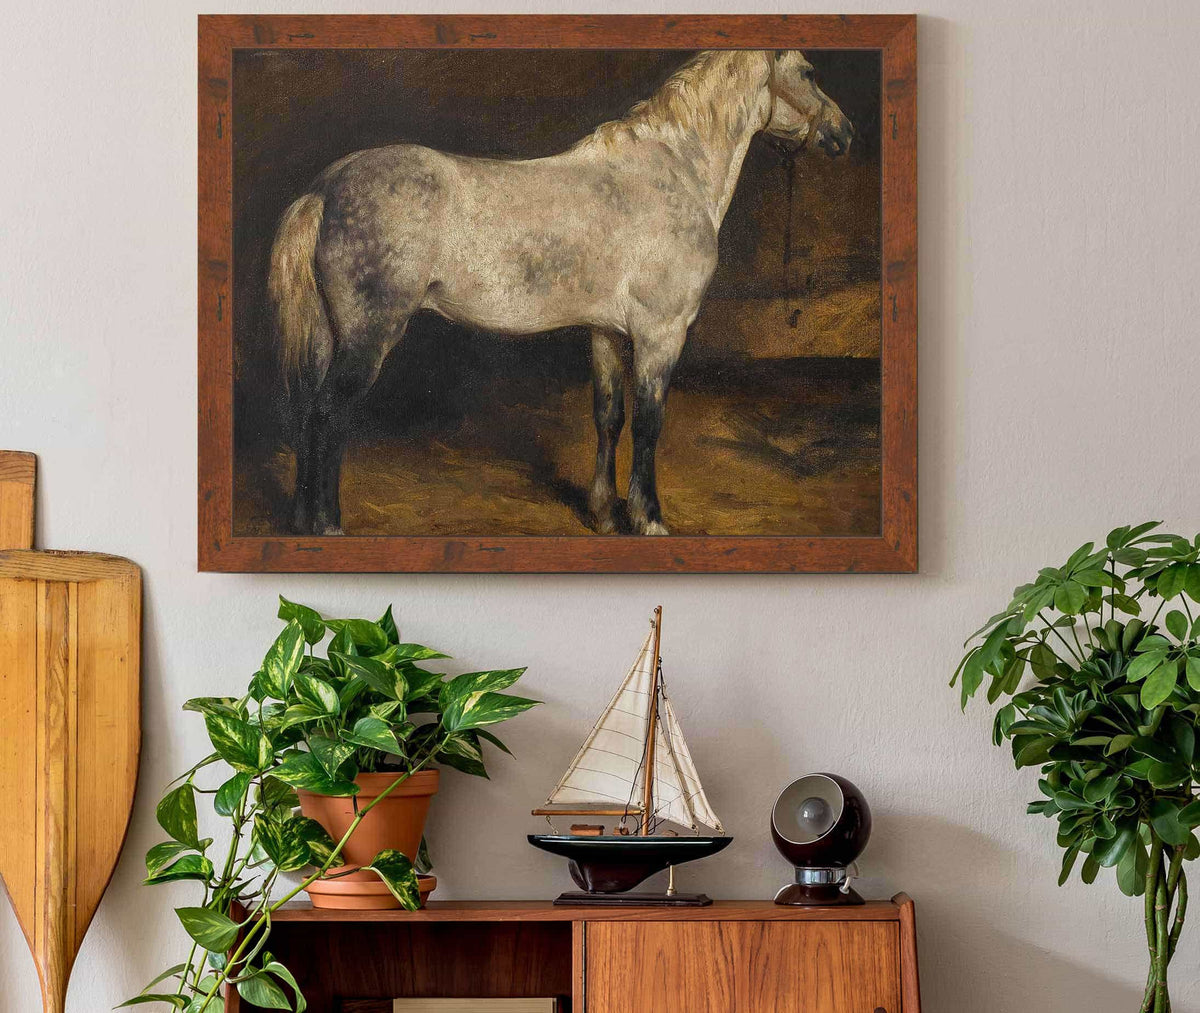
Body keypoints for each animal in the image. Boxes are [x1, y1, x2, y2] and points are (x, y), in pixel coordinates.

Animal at [269, 49, 853, 536]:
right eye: (808, 72)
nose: (844, 134)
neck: (672, 171)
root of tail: (324, 189)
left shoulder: (605, 331)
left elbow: (609, 416)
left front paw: (605, 514)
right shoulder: (660, 334)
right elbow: (649, 422)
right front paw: (648, 518)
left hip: (327, 333)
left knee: (305, 410)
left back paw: (301, 520)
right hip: (369, 335)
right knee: (327, 414)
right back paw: (327, 524)